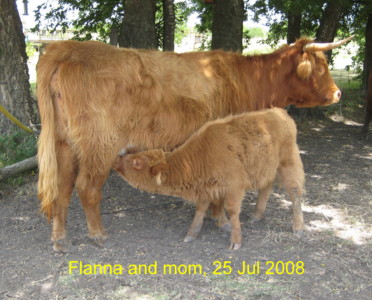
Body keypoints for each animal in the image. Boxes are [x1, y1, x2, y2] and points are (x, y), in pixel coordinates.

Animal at [114, 109, 306, 250]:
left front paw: (235, 240)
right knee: (266, 188)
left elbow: (232, 211)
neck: (201, 157)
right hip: (266, 170)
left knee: (295, 192)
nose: (117, 158)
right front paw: (192, 234)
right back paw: (257, 216)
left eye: (137, 162)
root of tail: (279, 112)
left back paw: (298, 228)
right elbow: (201, 209)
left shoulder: (233, 187)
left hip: (288, 164)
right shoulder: (207, 187)